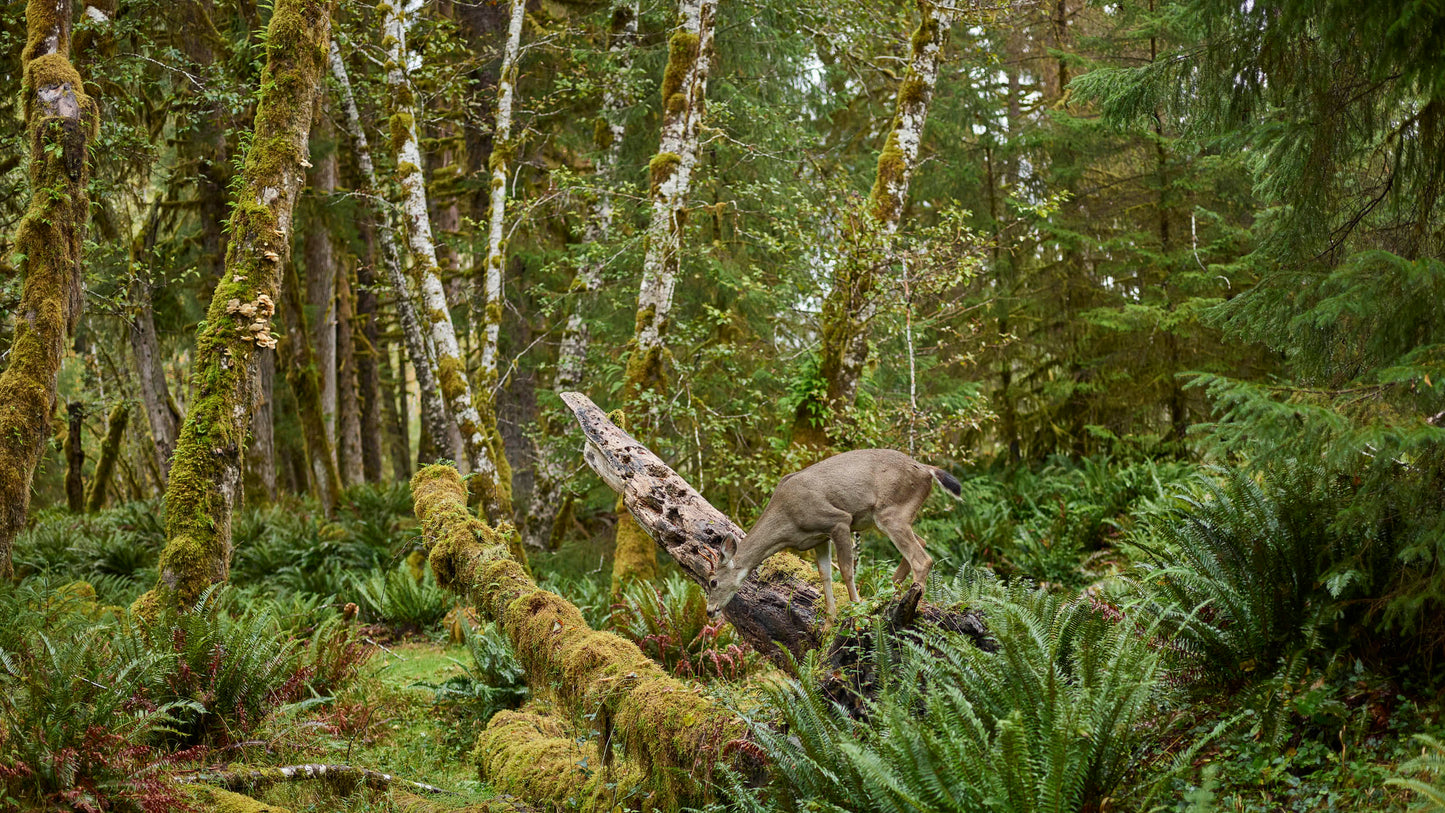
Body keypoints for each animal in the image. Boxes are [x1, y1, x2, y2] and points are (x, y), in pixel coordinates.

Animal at [708, 447, 965, 620]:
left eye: (712, 581)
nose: (710, 611)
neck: (787, 520)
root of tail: (927, 470)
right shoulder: (818, 538)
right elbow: (825, 575)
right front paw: (829, 620)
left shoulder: (838, 520)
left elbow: (846, 570)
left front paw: (855, 607)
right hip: (891, 516)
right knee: (921, 541)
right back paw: (886, 594)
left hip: (891, 513)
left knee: (922, 558)